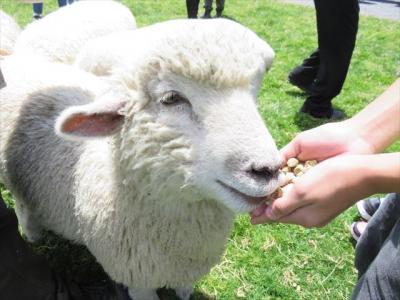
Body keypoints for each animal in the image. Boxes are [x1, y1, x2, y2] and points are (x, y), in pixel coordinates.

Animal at [0, 18, 282, 300]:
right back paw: (33, 234)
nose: (268, 169)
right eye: (171, 98)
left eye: (255, 93)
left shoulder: (189, 269)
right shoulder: (137, 278)